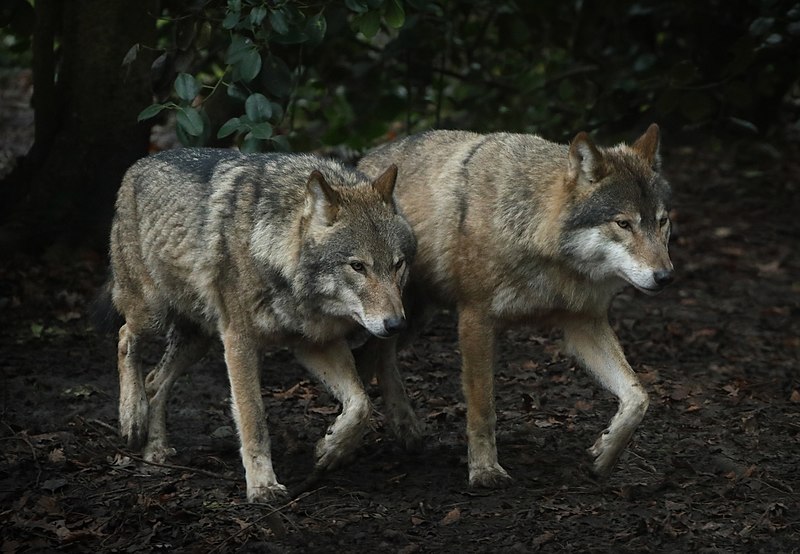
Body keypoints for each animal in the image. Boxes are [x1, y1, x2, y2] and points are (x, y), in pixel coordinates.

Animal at [106, 149, 416, 502]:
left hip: (199, 341)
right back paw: (132, 417)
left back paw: (155, 452)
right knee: (125, 337)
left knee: (155, 381)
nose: (396, 324)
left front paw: (331, 449)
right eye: (358, 266)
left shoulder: (314, 343)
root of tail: (138, 164)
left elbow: (361, 403)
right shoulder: (239, 342)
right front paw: (263, 485)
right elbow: (253, 419)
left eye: (397, 264)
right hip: (153, 314)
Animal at [358, 124, 676, 484]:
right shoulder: (475, 320)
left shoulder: (584, 324)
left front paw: (605, 453)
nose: (665, 276)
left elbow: (638, 397)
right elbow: (483, 408)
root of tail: (365, 160)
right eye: (623, 224)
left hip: (410, 319)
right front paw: (485, 470)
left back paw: (402, 428)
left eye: (661, 221)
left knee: (379, 357)